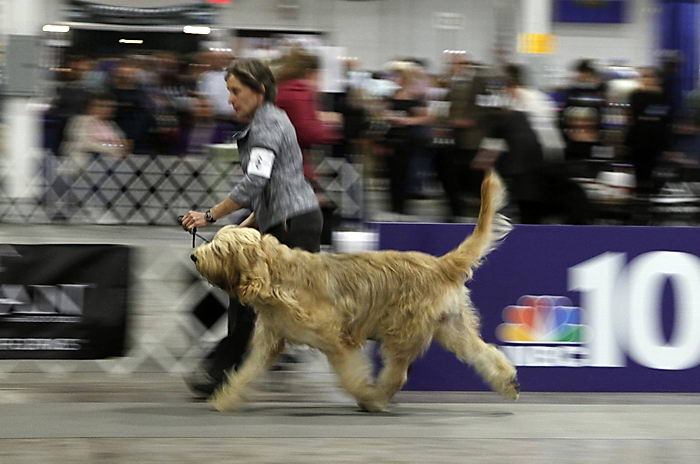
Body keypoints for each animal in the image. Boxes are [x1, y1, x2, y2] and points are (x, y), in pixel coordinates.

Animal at [191, 171, 520, 414]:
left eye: (218, 249)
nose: (195, 256)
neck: (277, 278)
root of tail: (440, 264)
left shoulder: (336, 339)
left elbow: (350, 375)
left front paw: (363, 391)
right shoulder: (270, 340)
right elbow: (246, 371)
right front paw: (225, 398)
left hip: (402, 330)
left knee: (398, 372)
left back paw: (374, 399)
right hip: (452, 328)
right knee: (485, 353)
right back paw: (508, 381)